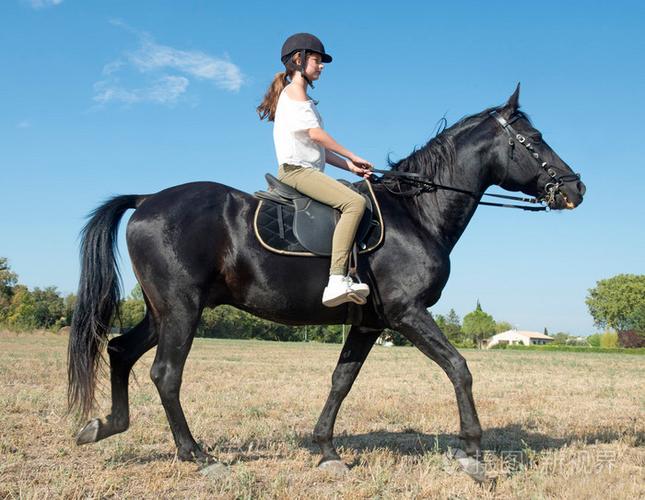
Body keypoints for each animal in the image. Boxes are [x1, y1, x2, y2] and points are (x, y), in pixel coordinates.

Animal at [68, 85, 585, 479]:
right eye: (534, 138)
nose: (576, 188)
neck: (415, 213)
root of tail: (147, 200)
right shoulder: (408, 313)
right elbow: (459, 367)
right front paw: (473, 452)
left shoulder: (370, 323)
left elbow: (341, 381)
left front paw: (326, 450)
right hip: (181, 309)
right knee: (165, 374)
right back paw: (197, 455)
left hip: (164, 311)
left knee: (120, 351)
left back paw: (104, 426)